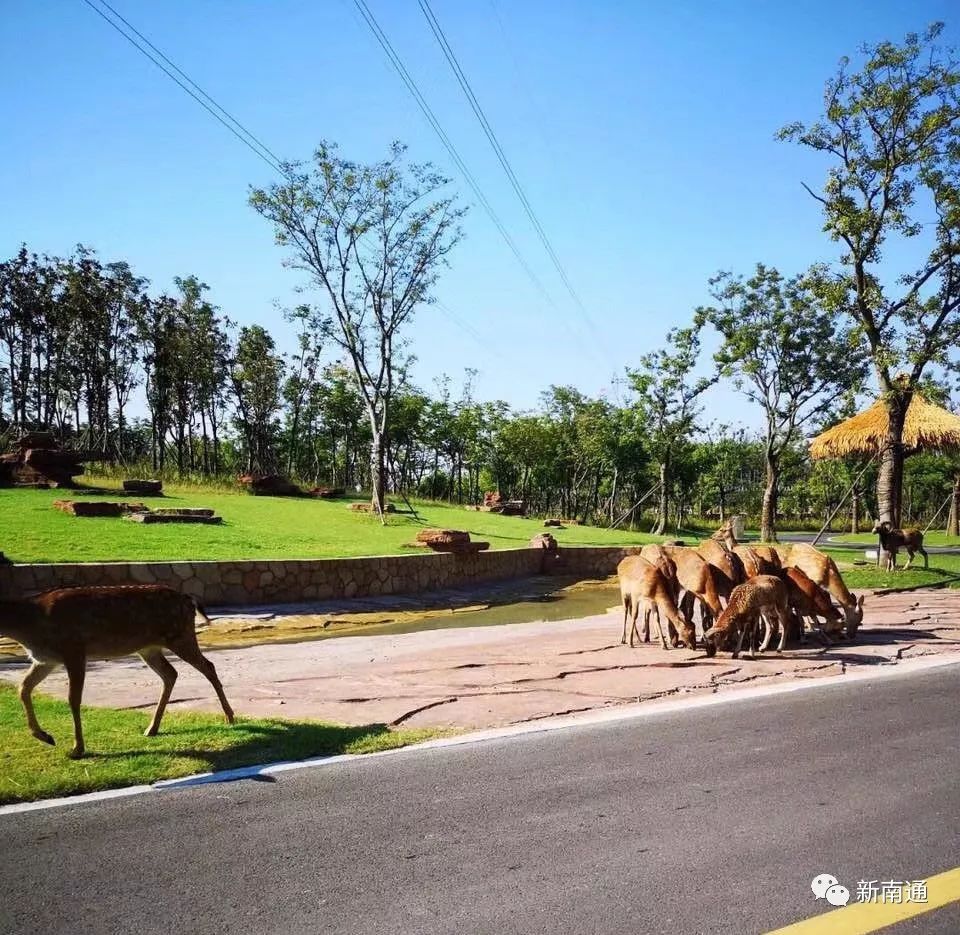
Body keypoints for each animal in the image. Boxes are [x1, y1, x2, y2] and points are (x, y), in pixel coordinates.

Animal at [0, 584, 235, 760]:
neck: (31, 625)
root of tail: (189, 599)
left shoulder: (74, 649)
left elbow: (73, 699)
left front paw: (77, 749)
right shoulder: (45, 660)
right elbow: (23, 688)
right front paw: (45, 736)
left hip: (180, 635)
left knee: (208, 666)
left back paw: (229, 716)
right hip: (149, 647)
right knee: (171, 673)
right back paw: (152, 728)